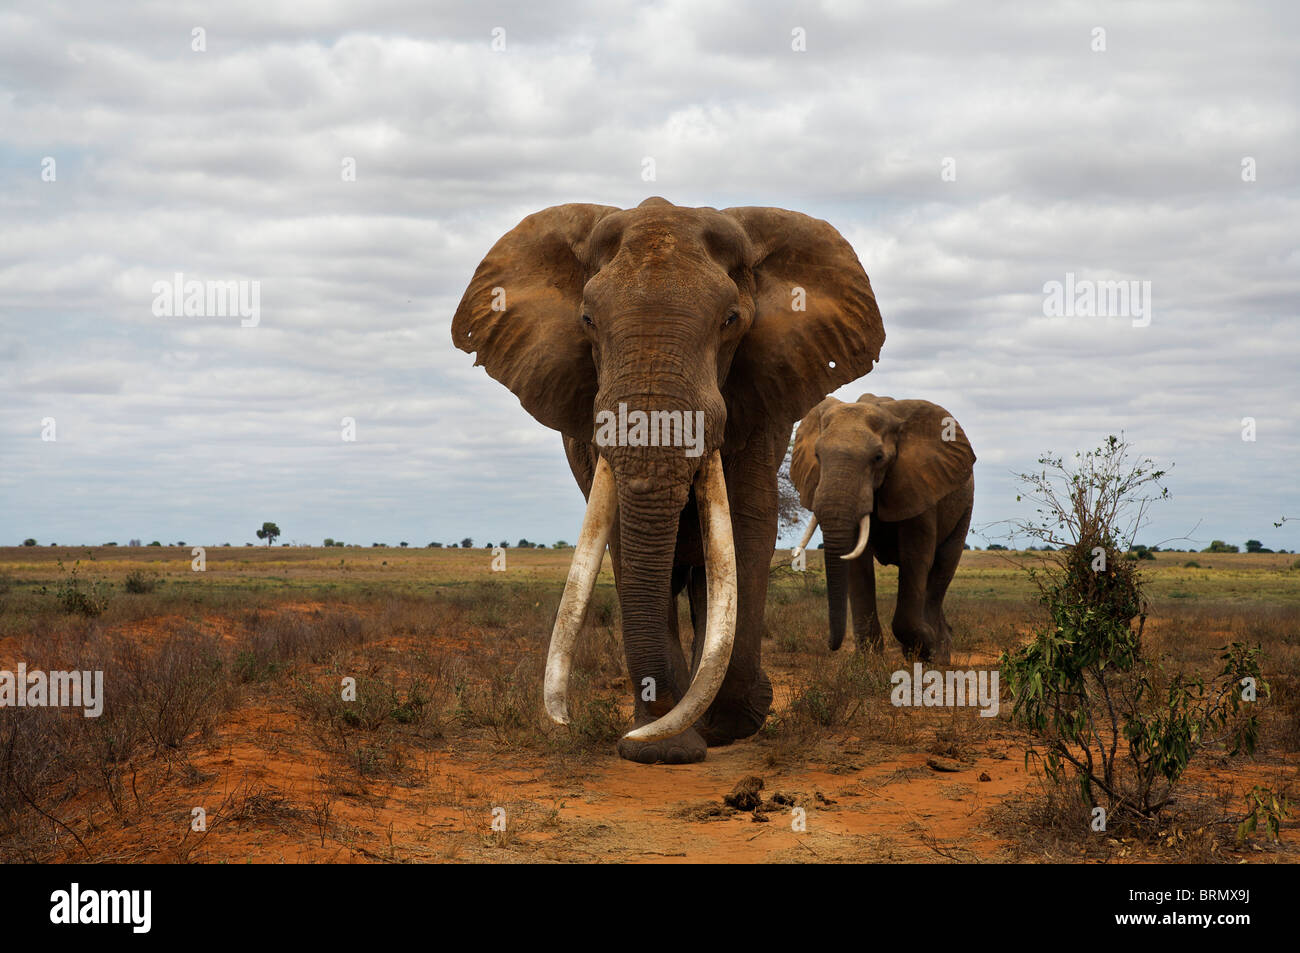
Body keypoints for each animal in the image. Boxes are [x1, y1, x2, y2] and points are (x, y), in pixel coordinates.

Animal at [452, 197, 889, 764]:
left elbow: (745, 529)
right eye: (587, 321)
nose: (565, 721)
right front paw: (664, 746)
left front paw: (726, 725)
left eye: (731, 321)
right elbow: (624, 541)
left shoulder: (760, 405)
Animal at [785, 392, 972, 660]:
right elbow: (857, 562)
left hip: (964, 505)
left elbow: (916, 559)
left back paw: (938, 652)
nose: (831, 645)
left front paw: (927, 647)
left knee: (942, 568)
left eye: (878, 458)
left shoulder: (919, 486)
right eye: (817, 456)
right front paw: (868, 660)